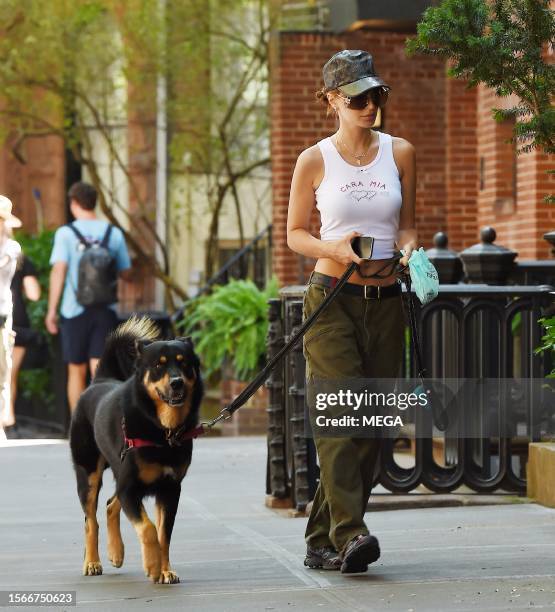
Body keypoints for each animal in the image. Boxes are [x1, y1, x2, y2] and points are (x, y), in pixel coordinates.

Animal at [69, 316, 204, 584]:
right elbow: (149, 528)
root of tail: (99, 380)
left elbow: (164, 535)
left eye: (184, 363)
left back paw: (116, 552)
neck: (163, 431)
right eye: (159, 365)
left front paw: (165, 570)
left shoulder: (169, 489)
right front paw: (152, 566)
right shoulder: (130, 488)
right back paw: (92, 562)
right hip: (89, 473)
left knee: (110, 504)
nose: (177, 383)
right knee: (91, 520)